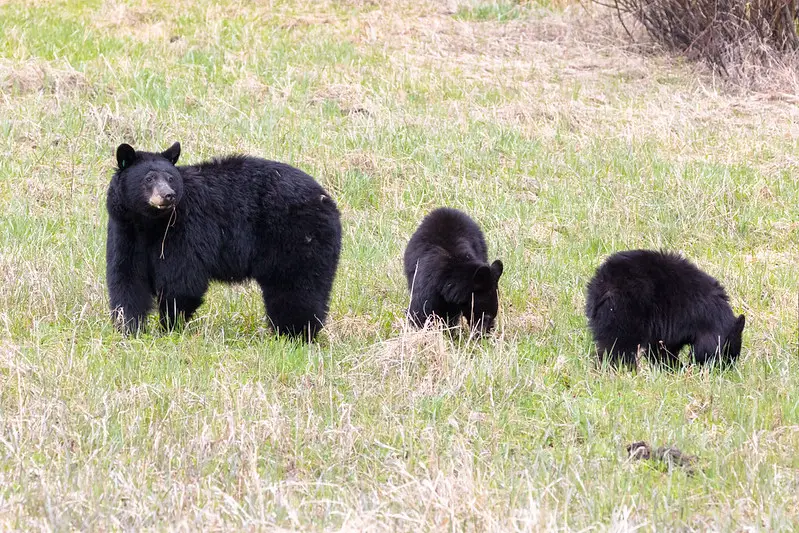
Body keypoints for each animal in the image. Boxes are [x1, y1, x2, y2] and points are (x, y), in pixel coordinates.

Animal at [104, 142, 342, 340]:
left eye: (171, 178)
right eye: (149, 178)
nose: (168, 195)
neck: (150, 224)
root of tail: (327, 199)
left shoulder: (185, 230)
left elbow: (182, 281)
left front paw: (169, 328)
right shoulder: (125, 231)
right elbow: (127, 278)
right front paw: (129, 328)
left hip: (297, 238)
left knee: (297, 288)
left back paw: (294, 334)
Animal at [584, 248, 748, 366]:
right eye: (729, 354)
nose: (725, 369)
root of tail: (603, 283)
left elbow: (659, 348)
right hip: (625, 311)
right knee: (619, 345)